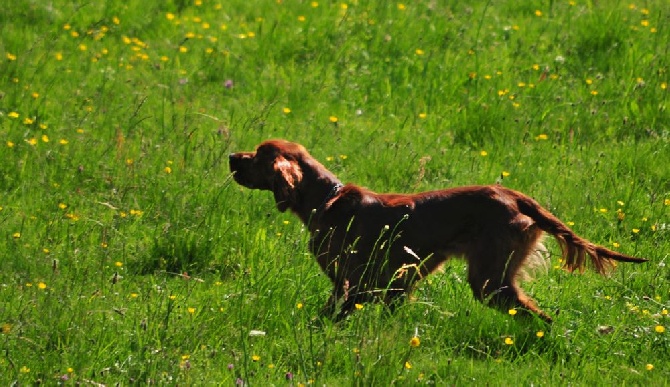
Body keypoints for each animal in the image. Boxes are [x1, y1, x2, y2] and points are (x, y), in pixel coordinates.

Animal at [228, 141, 648, 322]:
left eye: (258, 155)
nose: (231, 156)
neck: (327, 200)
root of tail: (515, 196)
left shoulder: (354, 283)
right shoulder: (391, 287)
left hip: (489, 278)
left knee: (536, 315)